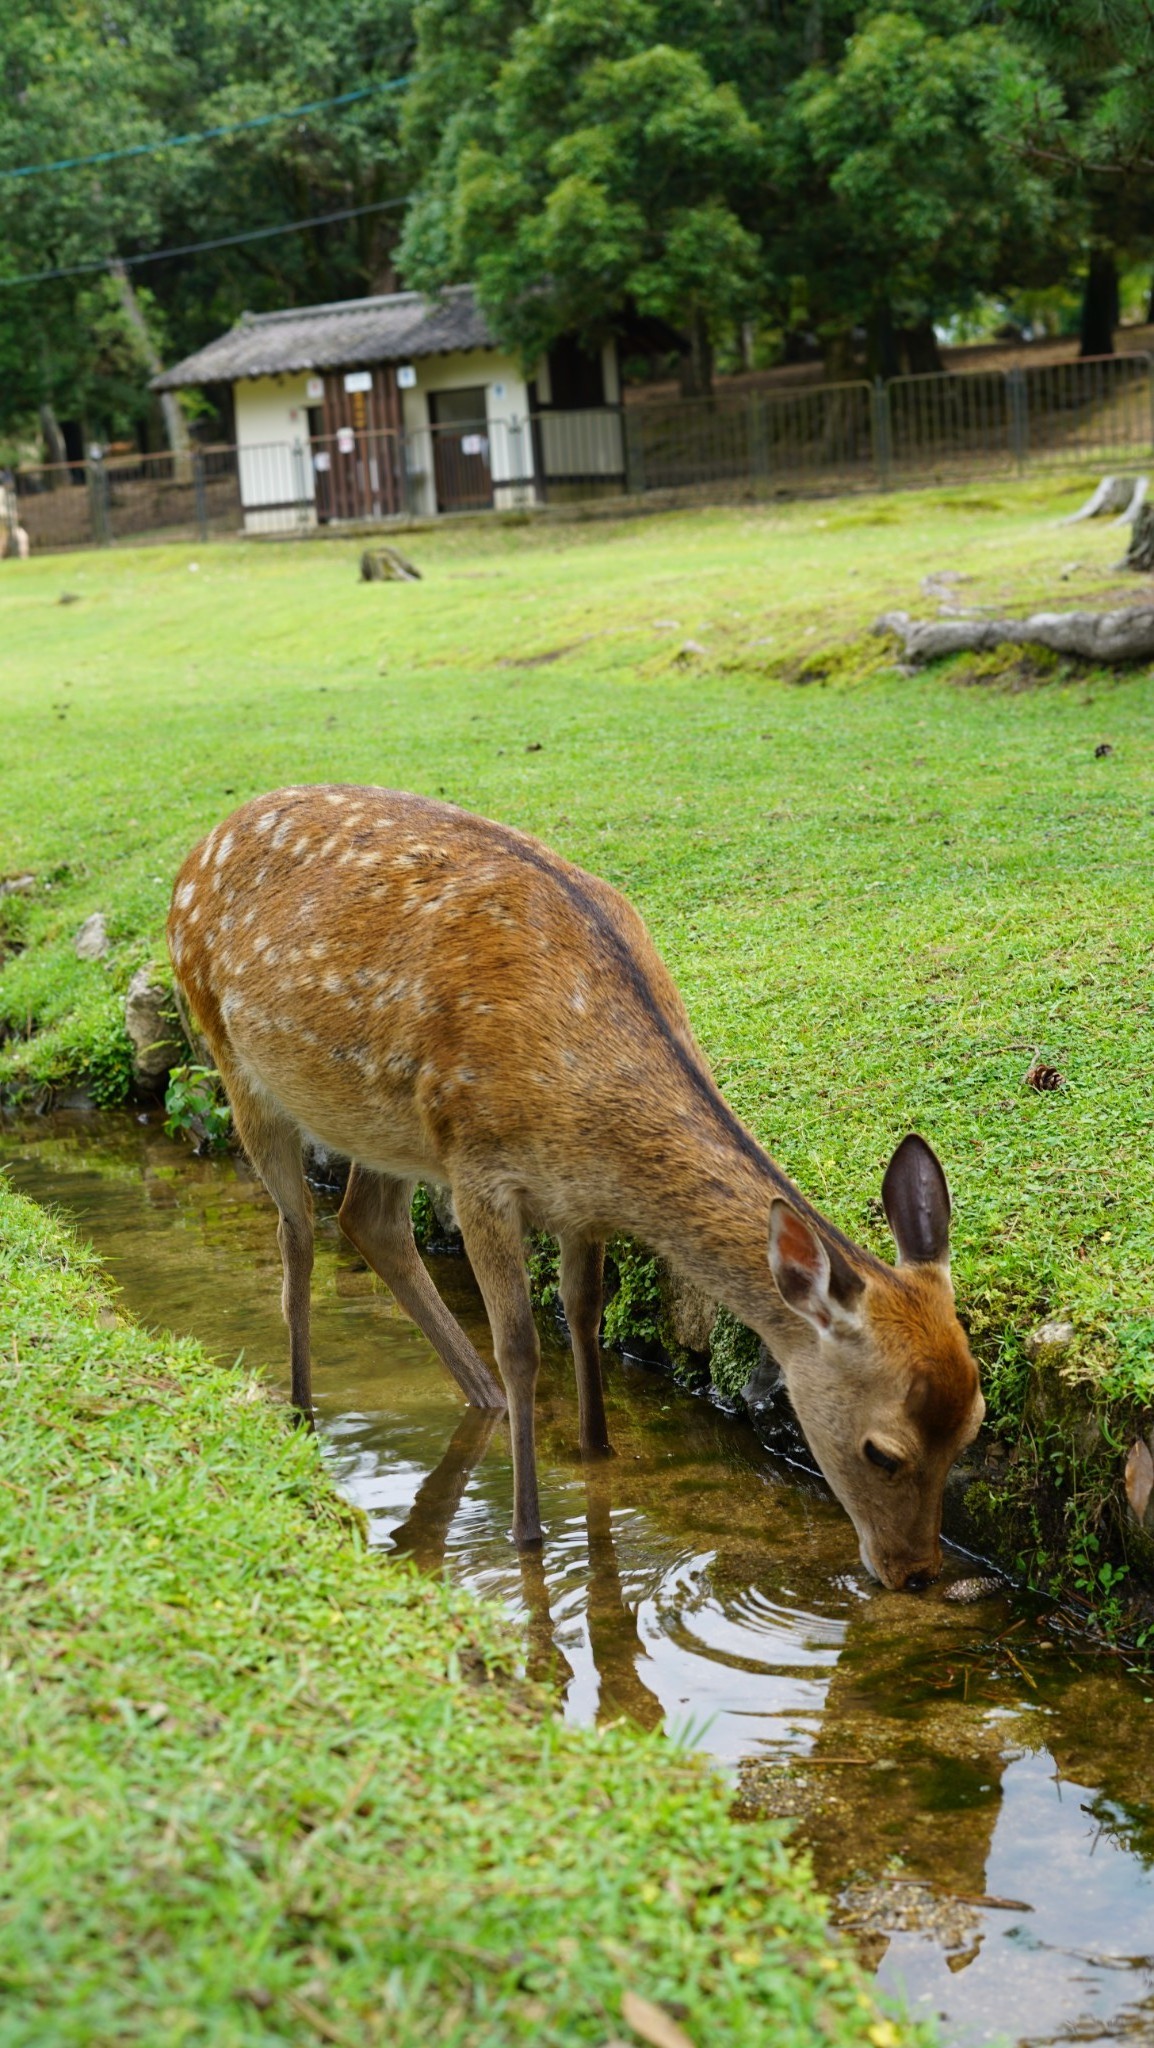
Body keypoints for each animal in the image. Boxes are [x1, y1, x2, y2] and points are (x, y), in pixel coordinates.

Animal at [169, 782, 983, 1581]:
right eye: (885, 1451)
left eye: (973, 1429)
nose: (916, 1571)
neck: (586, 1116)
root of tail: (194, 853)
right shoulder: (479, 1171)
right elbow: (524, 1345)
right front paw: (528, 1529)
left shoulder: (580, 1204)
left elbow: (584, 1314)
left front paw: (598, 1458)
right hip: (232, 1052)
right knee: (298, 1233)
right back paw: (304, 1413)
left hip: (384, 1125)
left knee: (367, 1221)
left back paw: (484, 1403)